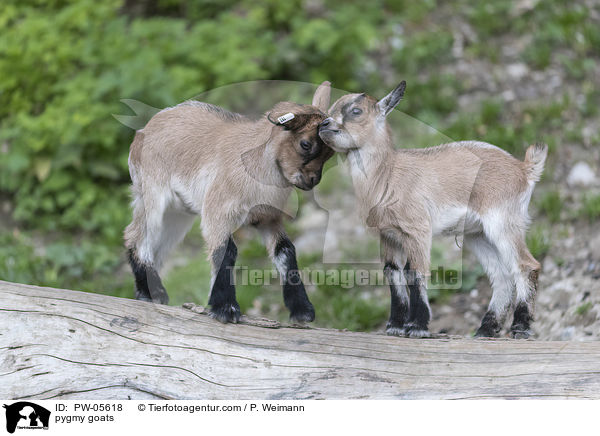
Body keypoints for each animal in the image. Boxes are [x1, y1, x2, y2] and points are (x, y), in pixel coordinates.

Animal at [124, 82, 336, 324]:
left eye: (329, 153)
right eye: (305, 144)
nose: (313, 181)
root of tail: (144, 130)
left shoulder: (268, 218)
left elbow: (285, 250)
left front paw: (302, 310)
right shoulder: (217, 212)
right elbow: (227, 250)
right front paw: (226, 308)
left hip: (178, 215)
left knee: (156, 247)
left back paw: (150, 292)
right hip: (153, 197)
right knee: (136, 237)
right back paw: (153, 293)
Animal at [322, 82, 548, 340]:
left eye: (356, 111)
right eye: (330, 109)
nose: (323, 124)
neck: (387, 175)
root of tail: (524, 169)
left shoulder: (417, 229)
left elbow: (415, 272)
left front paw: (417, 327)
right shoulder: (388, 235)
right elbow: (393, 272)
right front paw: (395, 326)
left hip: (502, 222)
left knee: (526, 265)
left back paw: (520, 328)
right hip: (478, 234)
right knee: (501, 276)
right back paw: (485, 330)